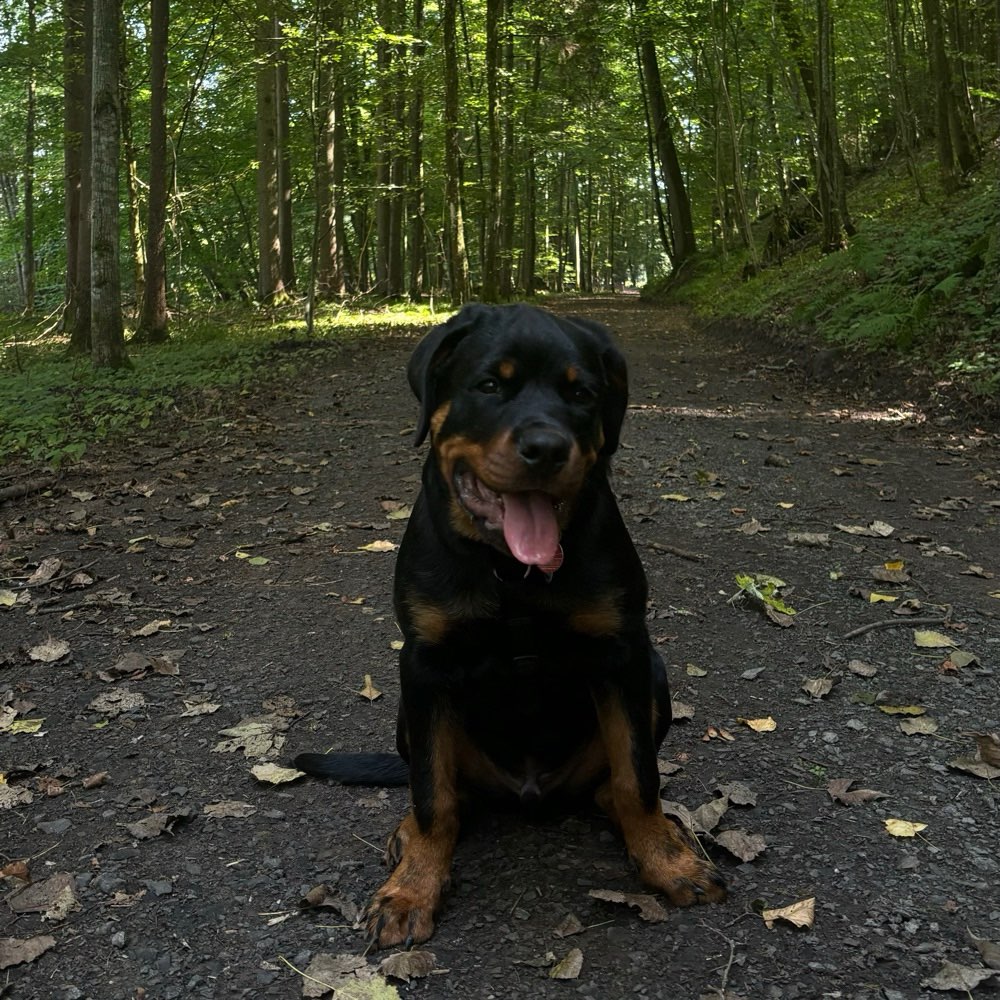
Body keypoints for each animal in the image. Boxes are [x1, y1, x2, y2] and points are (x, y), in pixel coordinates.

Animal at [296, 302, 728, 944]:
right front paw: (411, 891)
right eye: (489, 386)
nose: (546, 448)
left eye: (582, 394)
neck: (511, 575)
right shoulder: (424, 664)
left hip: (655, 675)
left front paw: (668, 863)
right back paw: (409, 835)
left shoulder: (624, 652)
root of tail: (529, 790)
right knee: (447, 791)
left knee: (610, 785)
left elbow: (638, 776)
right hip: (408, 710)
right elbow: (432, 794)